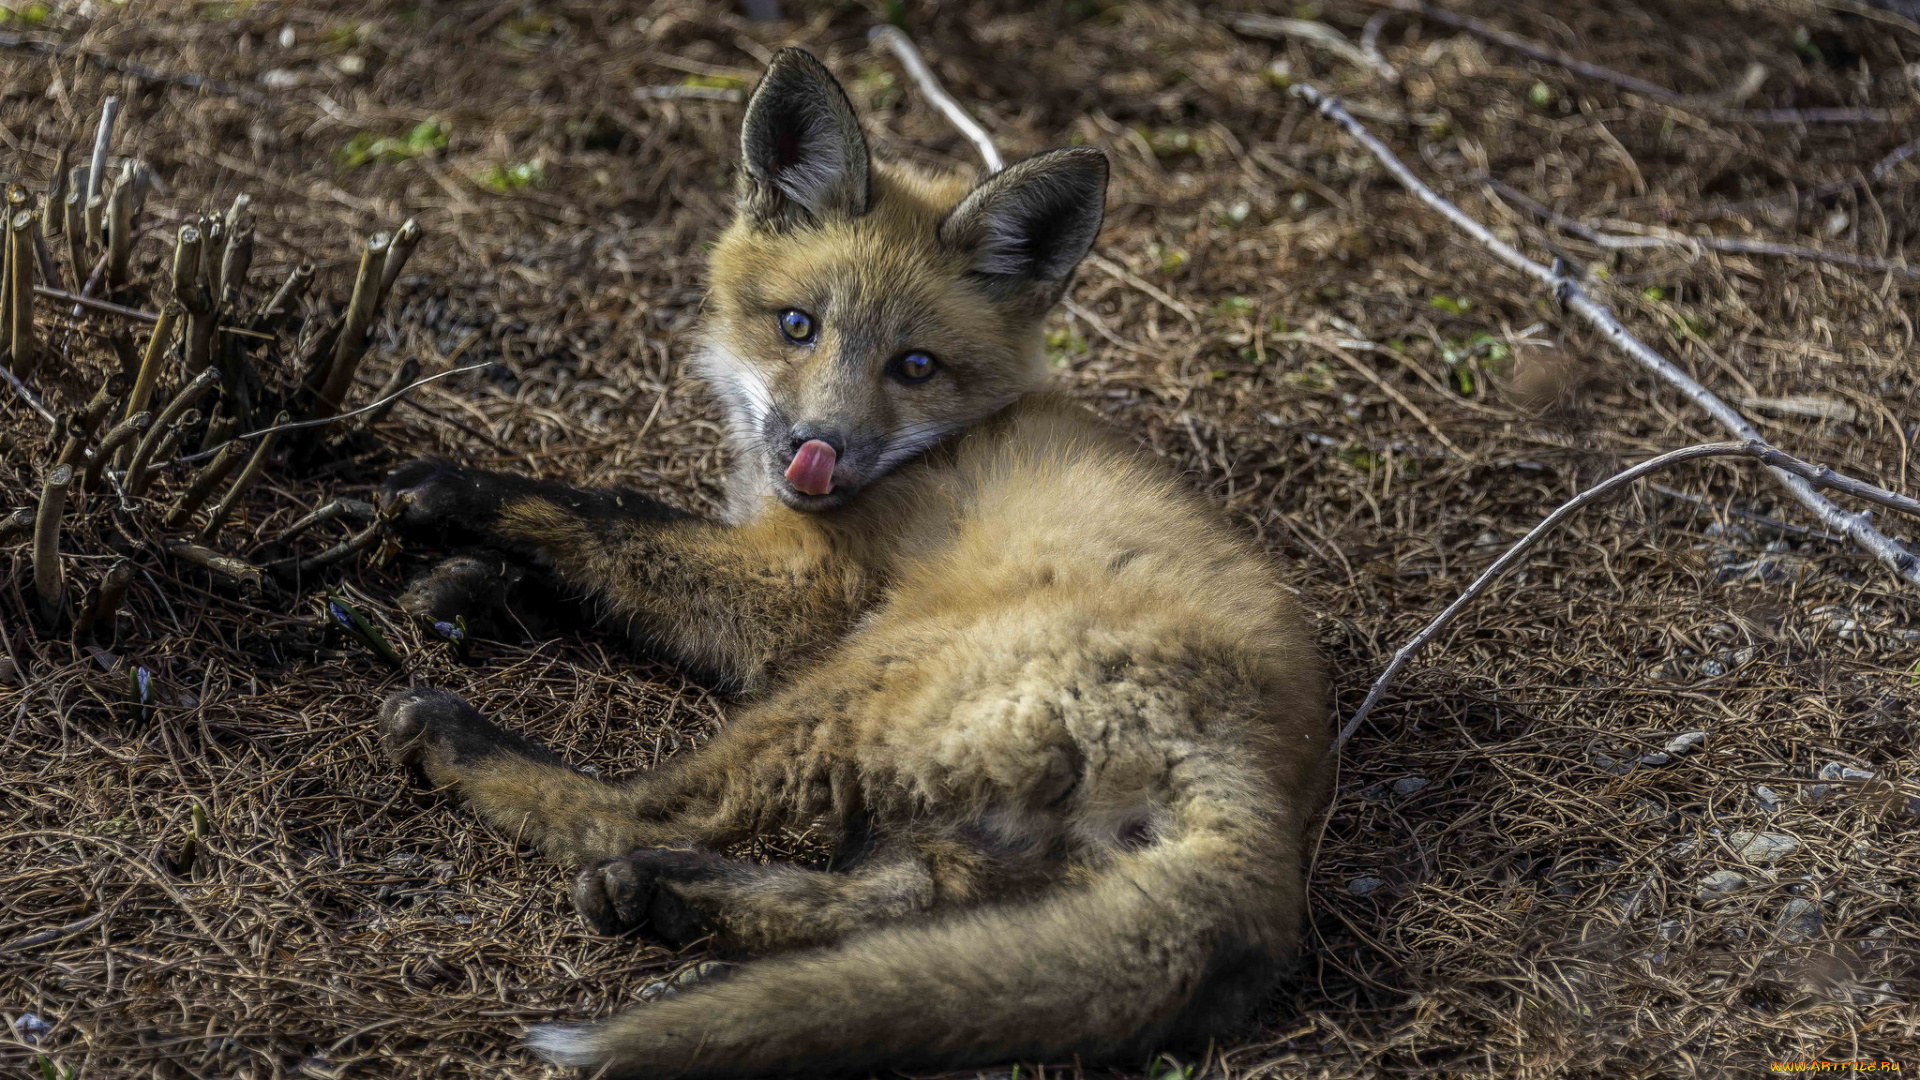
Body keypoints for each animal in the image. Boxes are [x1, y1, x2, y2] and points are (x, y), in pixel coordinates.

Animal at [376, 48, 1336, 1076]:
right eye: (797, 325)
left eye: (914, 366)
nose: (816, 452)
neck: (940, 449)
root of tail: (1266, 775)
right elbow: (612, 561)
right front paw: (468, 586)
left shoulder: (804, 598)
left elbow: (608, 516)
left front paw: (447, 493)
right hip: (972, 837)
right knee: (907, 905)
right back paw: (680, 914)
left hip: (854, 684)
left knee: (637, 814)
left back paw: (470, 751)